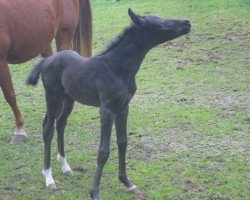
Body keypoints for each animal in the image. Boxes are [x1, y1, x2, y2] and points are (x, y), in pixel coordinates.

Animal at [27, 8, 190, 200]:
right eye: (161, 24)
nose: (187, 23)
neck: (117, 68)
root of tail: (47, 60)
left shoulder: (123, 108)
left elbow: (123, 142)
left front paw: (127, 182)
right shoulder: (107, 110)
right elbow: (103, 151)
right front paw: (95, 192)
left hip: (69, 99)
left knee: (60, 123)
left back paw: (65, 167)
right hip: (53, 98)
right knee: (48, 129)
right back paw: (48, 177)